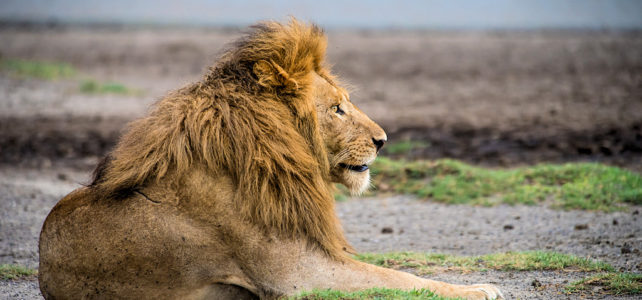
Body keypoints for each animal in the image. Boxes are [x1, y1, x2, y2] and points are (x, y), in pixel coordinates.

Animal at [38, 19, 500, 300]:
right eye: (337, 109)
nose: (383, 141)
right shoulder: (300, 276)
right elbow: (397, 280)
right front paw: (481, 289)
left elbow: (395, 272)